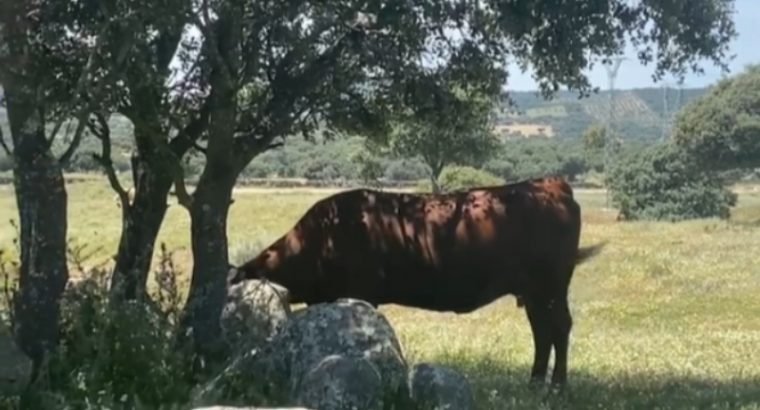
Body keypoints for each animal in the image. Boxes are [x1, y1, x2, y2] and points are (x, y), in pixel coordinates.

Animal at [227, 177, 604, 388]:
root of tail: (547, 184)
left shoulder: (360, 293)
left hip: (550, 286)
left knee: (559, 327)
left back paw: (557, 385)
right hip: (534, 292)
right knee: (543, 331)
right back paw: (536, 381)